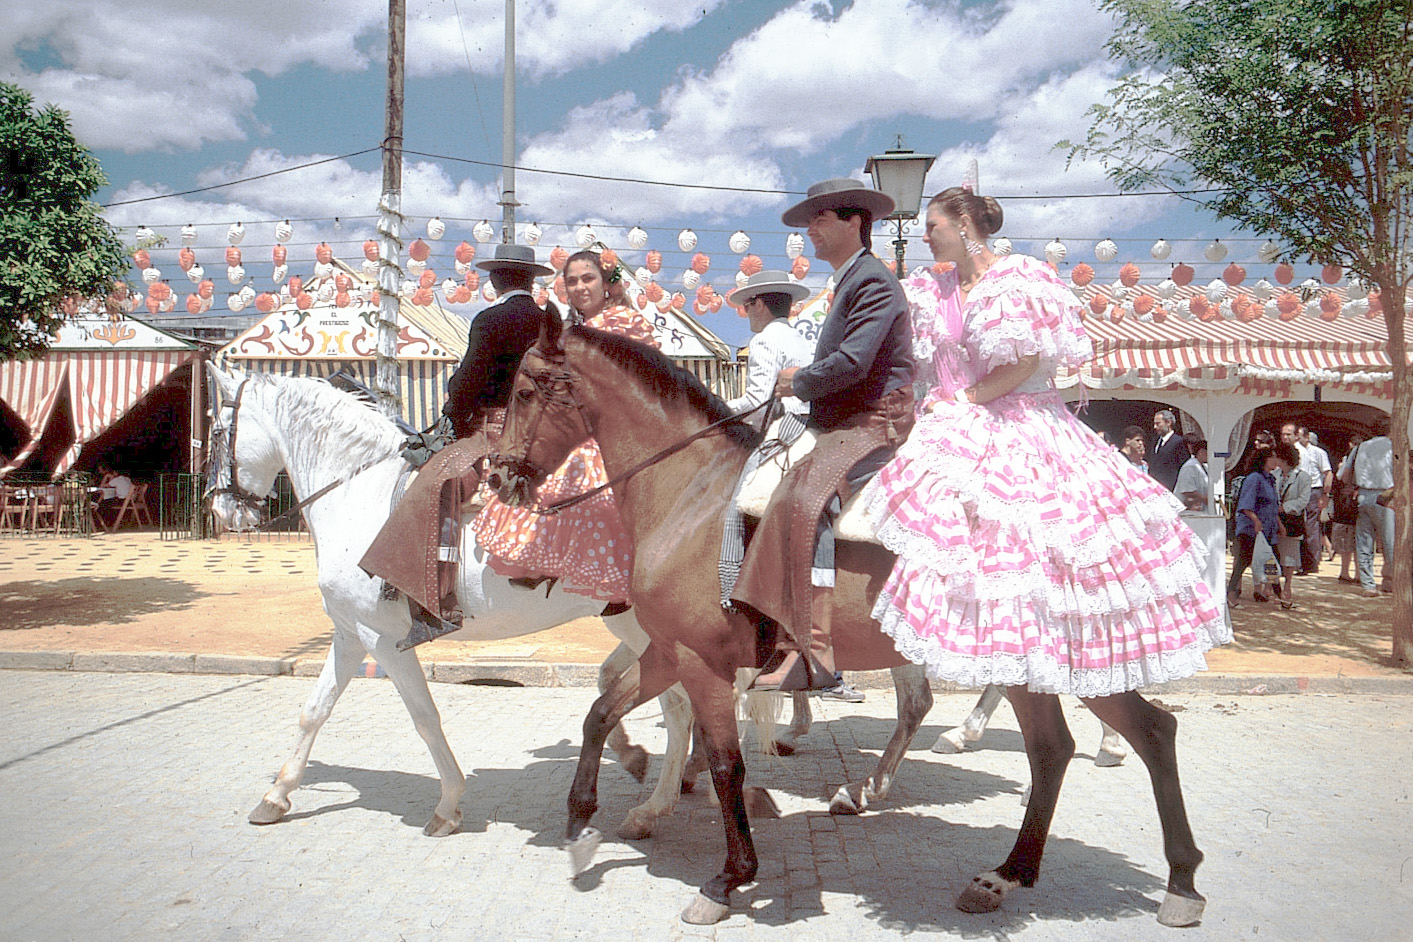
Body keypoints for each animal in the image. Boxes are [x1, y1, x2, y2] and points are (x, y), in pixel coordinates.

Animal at [203, 364, 695, 841]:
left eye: (216, 431)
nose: (220, 510)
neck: (358, 494)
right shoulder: (349, 634)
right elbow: (314, 711)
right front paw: (276, 796)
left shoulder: (383, 640)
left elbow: (424, 716)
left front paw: (448, 805)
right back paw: (657, 797)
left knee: (678, 707)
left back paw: (655, 807)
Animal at [491, 314, 1209, 926]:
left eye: (524, 390)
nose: (498, 476)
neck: (690, 495)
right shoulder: (669, 650)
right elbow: (601, 712)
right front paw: (582, 825)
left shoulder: (701, 661)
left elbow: (725, 764)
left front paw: (728, 878)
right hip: (1033, 666)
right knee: (1069, 746)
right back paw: (1009, 875)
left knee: (1140, 735)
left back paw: (1174, 885)